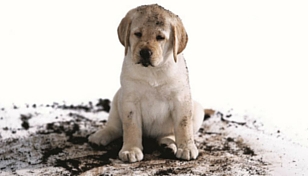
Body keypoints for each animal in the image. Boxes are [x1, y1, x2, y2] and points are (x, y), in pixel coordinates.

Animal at [88, 3, 205, 162]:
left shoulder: (181, 99)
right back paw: (100, 136)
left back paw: (168, 144)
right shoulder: (130, 99)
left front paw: (186, 147)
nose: (145, 52)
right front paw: (131, 149)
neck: (153, 71)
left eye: (160, 37)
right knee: (115, 127)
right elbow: (131, 127)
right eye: (138, 34)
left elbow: (183, 125)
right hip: (117, 97)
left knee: (169, 133)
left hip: (198, 109)